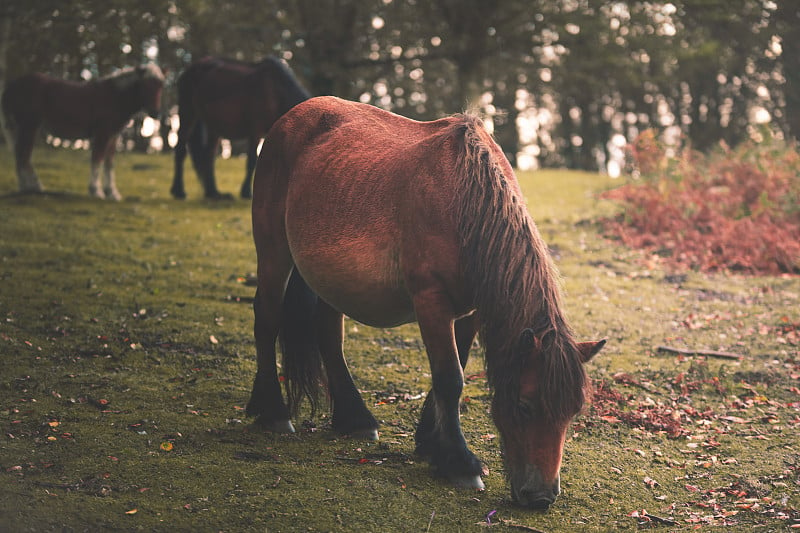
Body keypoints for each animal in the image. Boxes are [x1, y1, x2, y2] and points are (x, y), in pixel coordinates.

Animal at [1, 64, 164, 200]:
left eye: (161, 86)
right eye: (144, 85)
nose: (155, 113)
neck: (115, 97)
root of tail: (13, 86)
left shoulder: (113, 136)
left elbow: (109, 164)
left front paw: (112, 193)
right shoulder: (103, 134)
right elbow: (97, 159)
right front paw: (96, 191)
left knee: (21, 155)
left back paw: (27, 187)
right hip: (29, 126)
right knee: (23, 155)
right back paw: (32, 187)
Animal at [172, 55, 310, 200]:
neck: (277, 90)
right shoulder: (256, 131)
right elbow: (252, 161)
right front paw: (246, 192)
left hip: (213, 124)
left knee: (208, 155)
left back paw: (213, 193)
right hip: (188, 111)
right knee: (181, 149)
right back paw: (179, 191)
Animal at [250, 95, 608, 508]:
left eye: (573, 411)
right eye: (524, 405)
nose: (541, 497)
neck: (463, 202)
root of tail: (292, 116)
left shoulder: (471, 310)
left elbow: (455, 369)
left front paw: (431, 445)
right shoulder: (431, 302)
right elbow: (449, 377)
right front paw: (460, 463)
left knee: (328, 336)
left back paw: (354, 420)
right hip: (274, 252)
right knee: (267, 319)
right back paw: (273, 413)